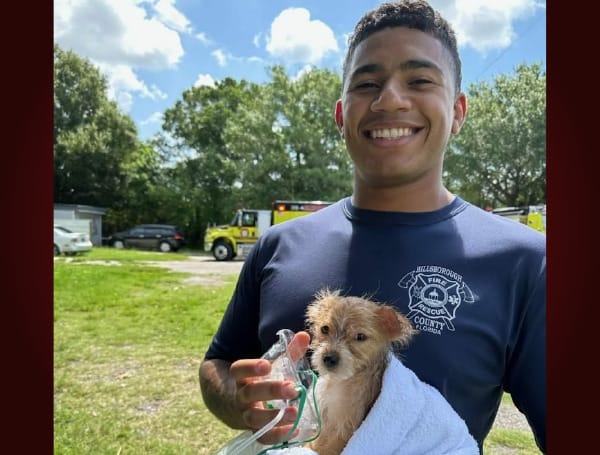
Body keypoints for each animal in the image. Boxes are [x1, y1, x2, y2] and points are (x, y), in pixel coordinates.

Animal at [308, 290, 414, 454]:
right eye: (325, 328)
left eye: (360, 337)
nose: (329, 358)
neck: (340, 382)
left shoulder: (345, 428)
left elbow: (322, 448)